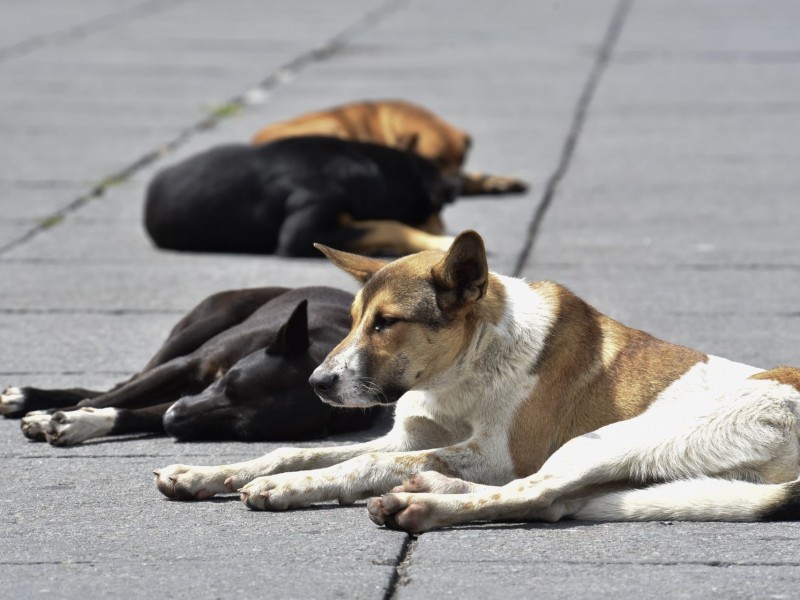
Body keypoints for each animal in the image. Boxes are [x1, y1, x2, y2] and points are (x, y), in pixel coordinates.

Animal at [1, 286, 376, 446]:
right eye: (227, 383)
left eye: (241, 431)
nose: (173, 420)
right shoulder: (186, 369)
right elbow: (110, 399)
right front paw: (52, 416)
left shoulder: (186, 402)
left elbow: (131, 412)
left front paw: (81, 423)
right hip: (199, 328)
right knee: (118, 385)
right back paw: (30, 399)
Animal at [155, 232, 800, 532]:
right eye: (355, 318)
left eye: (386, 323)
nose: (316, 381)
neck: (465, 369)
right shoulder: (409, 436)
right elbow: (297, 450)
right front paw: (210, 473)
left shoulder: (497, 454)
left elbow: (360, 463)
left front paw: (287, 489)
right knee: (556, 502)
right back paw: (427, 491)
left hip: (614, 440)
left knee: (534, 494)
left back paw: (420, 507)